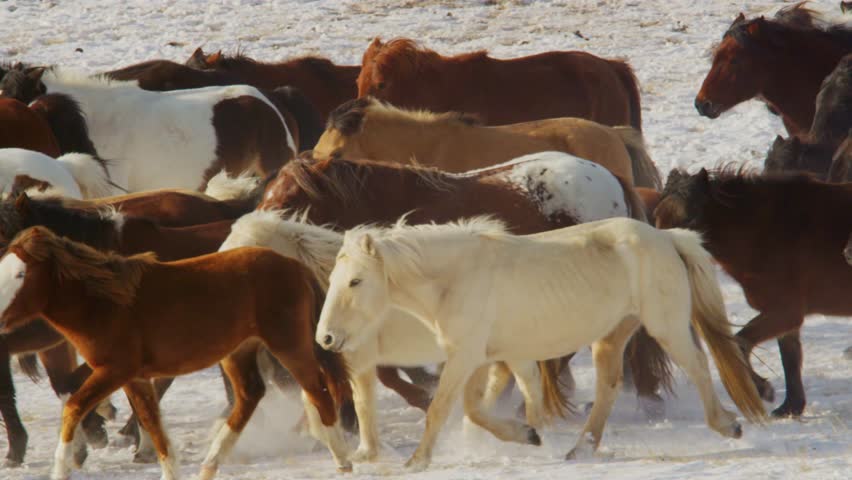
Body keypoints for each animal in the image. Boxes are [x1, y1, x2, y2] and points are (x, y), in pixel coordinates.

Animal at [0, 226, 352, 479]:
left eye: (21, 274)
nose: (0, 318)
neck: (106, 304)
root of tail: (294, 265)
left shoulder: (114, 371)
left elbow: (73, 407)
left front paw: (61, 469)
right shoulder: (135, 378)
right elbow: (152, 425)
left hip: (288, 345)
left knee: (318, 390)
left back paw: (342, 461)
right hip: (238, 352)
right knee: (250, 395)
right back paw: (210, 464)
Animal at [317, 216, 766, 470]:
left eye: (355, 281)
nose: (326, 338)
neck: (456, 279)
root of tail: (665, 236)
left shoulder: (465, 357)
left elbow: (442, 409)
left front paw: (417, 461)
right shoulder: (480, 357)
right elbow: (474, 410)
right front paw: (528, 434)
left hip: (666, 325)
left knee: (698, 367)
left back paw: (727, 424)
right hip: (612, 335)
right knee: (609, 387)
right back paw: (580, 449)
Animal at [654, 168, 852, 417]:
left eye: (690, 219)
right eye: (657, 216)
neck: (768, 231)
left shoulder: (785, 312)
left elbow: (740, 343)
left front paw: (763, 389)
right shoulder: (786, 317)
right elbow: (790, 358)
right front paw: (790, 407)